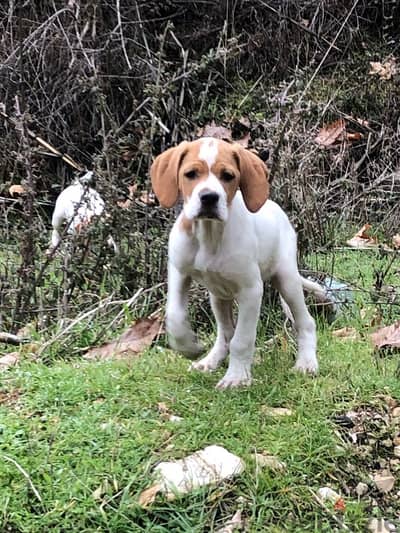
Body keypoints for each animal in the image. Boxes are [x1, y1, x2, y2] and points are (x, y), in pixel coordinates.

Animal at [151, 137, 322, 386]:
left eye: (228, 176)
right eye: (190, 174)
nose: (209, 197)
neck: (210, 235)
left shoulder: (251, 291)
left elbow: (242, 339)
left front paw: (236, 377)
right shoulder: (179, 272)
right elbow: (174, 315)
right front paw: (188, 346)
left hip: (287, 279)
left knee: (305, 322)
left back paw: (306, 363)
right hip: (218, 296)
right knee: (224, 333)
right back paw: (209, 361)